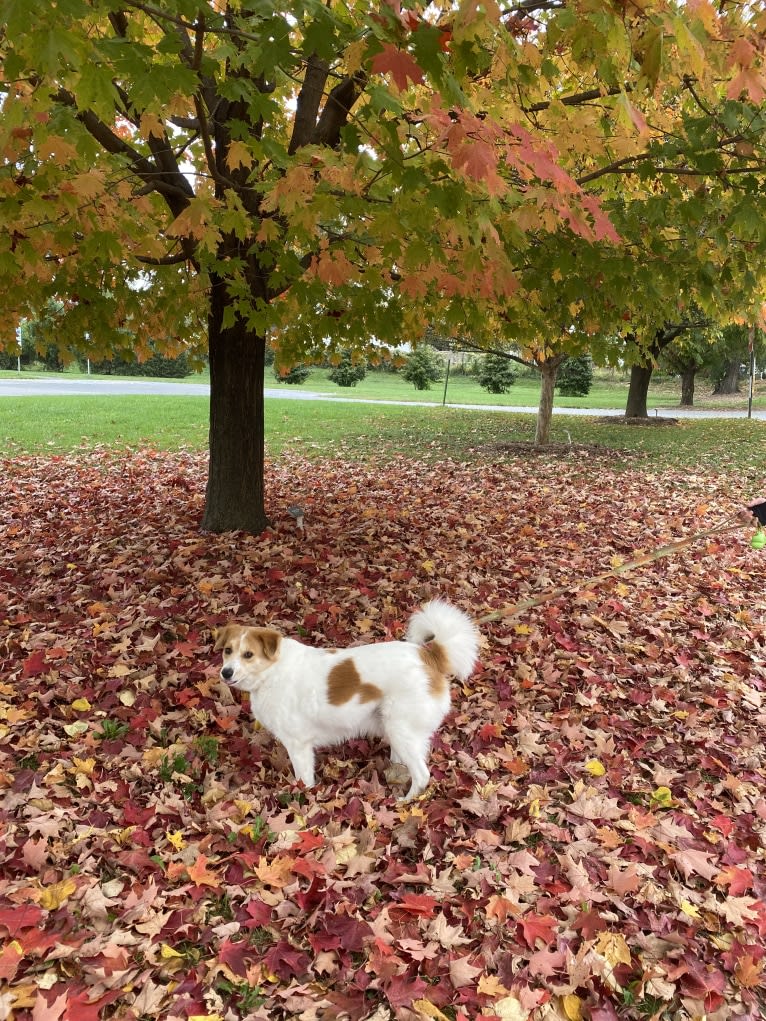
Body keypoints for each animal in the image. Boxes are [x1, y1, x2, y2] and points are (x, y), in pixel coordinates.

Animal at [214, 600, 480, 800]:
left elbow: (304, 779)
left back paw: (406, 801)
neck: (273, 669)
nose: (225, 672)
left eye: (248, 654)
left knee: (422, 775)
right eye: (227, 650)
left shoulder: (299, 745)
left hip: (401, 728)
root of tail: (428, 655)